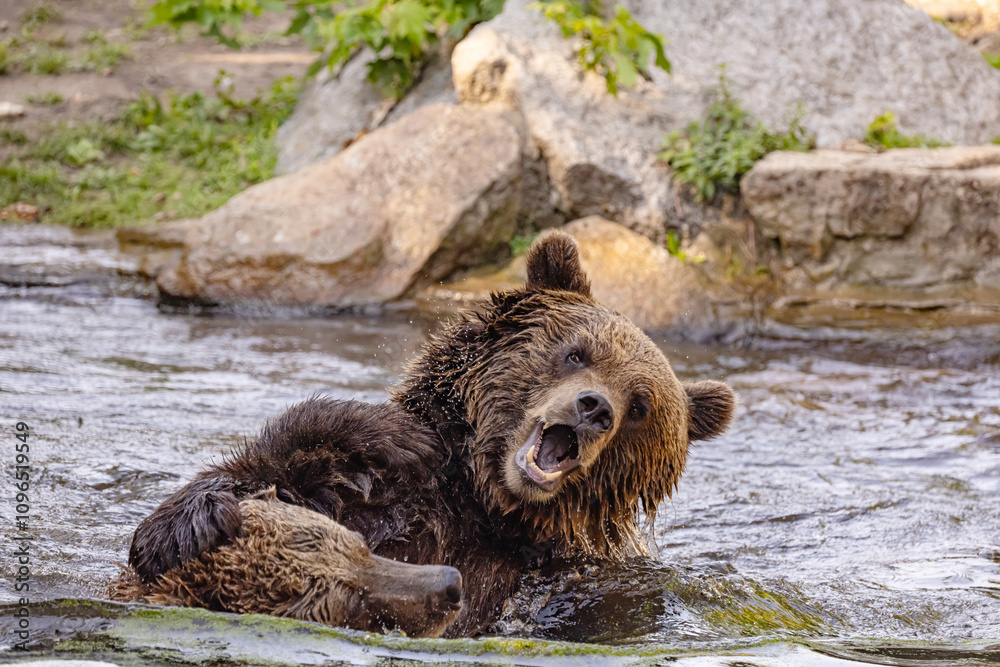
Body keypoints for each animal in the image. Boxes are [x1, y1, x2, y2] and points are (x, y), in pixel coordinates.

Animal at [125, 231, 736, 637]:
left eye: (641, 406)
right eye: (576, 352)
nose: (594, 409)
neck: (482, 503)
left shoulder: (560, 575)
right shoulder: (377, 499)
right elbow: (273, 472)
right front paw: (193, 523)